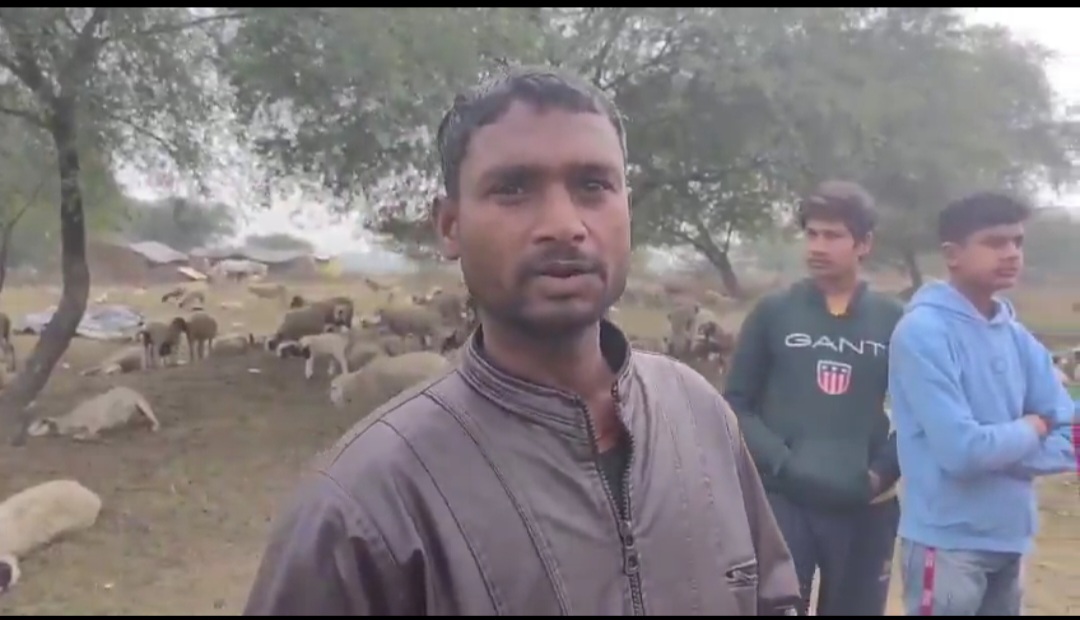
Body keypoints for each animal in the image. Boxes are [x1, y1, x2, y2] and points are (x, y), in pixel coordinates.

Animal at [26, 386, 160, 441]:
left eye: (40, 424)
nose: (28, 433)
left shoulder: (94, 424)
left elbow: (88, 434)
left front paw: (84, 436)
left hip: (141, 404)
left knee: (155, 420)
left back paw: (154, 427)